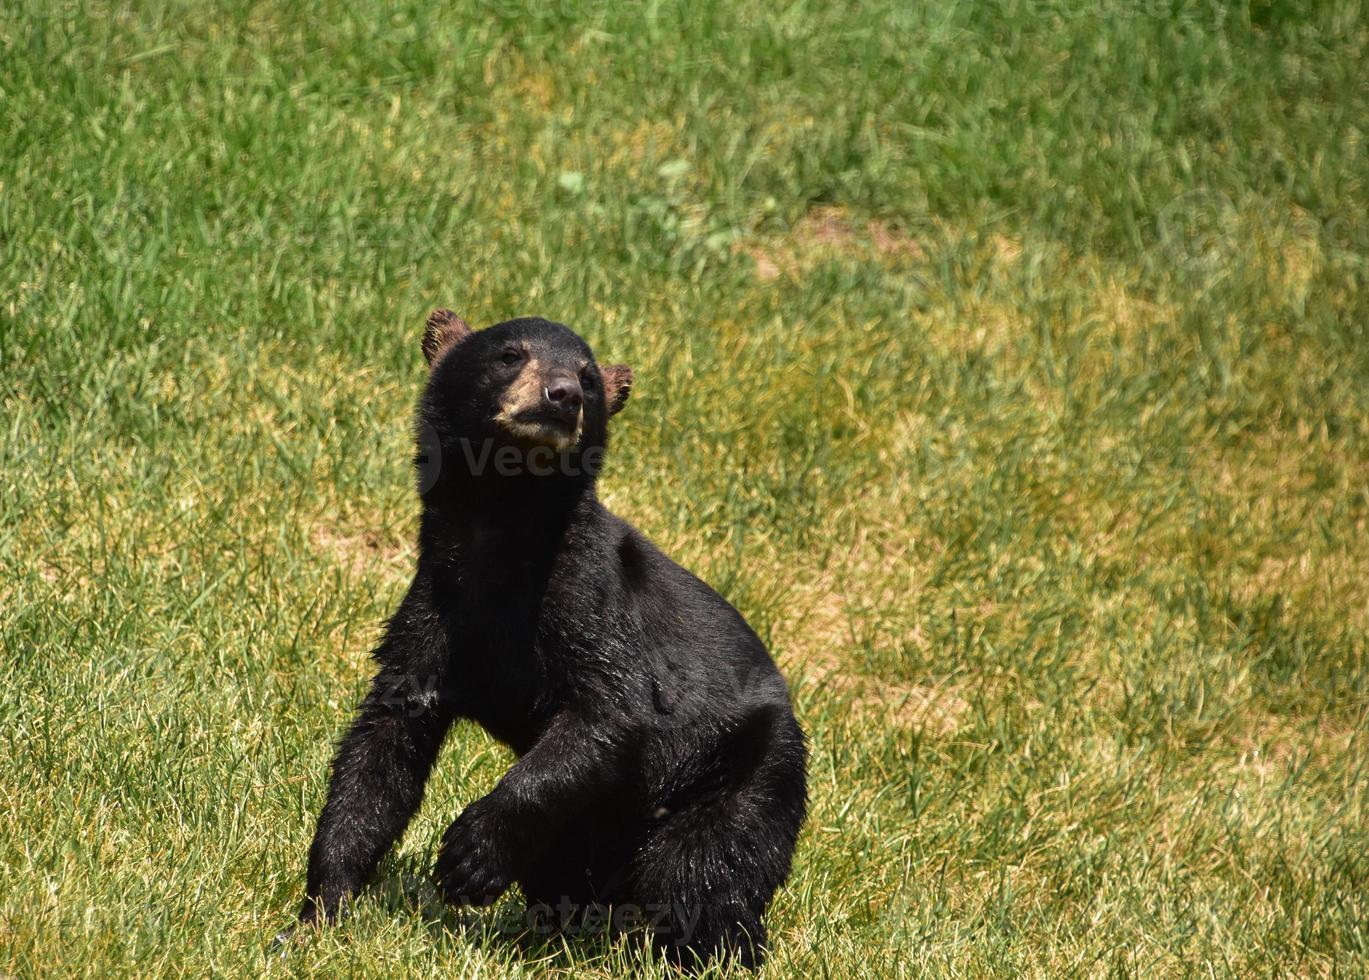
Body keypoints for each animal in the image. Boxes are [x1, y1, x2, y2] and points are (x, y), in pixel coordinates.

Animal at [290, 310, 799, 969]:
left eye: (588, 377)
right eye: (510, 354)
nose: (563, 396)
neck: (502, 537)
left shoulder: (590, 599)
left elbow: (610, 710)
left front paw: (468, 855)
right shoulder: (435, 608)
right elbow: (384, 743)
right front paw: (318, 913)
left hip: (748, 769)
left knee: (701, 871)